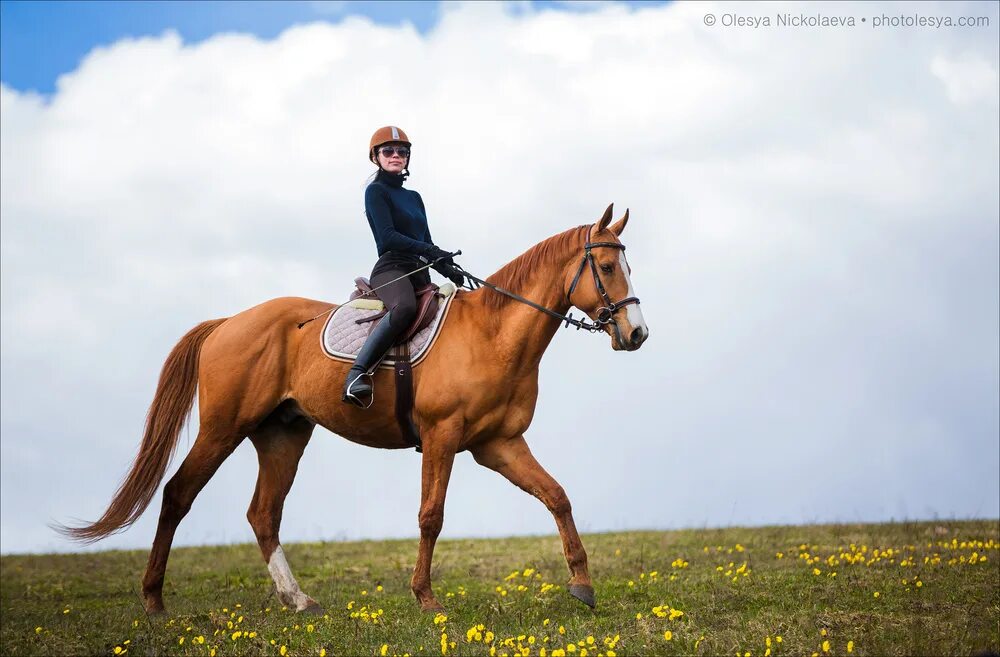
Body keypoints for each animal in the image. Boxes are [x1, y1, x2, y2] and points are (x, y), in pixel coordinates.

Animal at [60, 204, 648, 616]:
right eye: (605, 265)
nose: (637, 333)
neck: (493, 333)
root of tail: (229, 321)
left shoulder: (498, 444)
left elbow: (558, 497)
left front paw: (582, 586)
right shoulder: (442, 436)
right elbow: (431, 516)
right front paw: (426, 598)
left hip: (282, 435)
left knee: (263, 514)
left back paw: (298, 601)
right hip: (223, 429)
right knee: (178, 495)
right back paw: (155, 601)